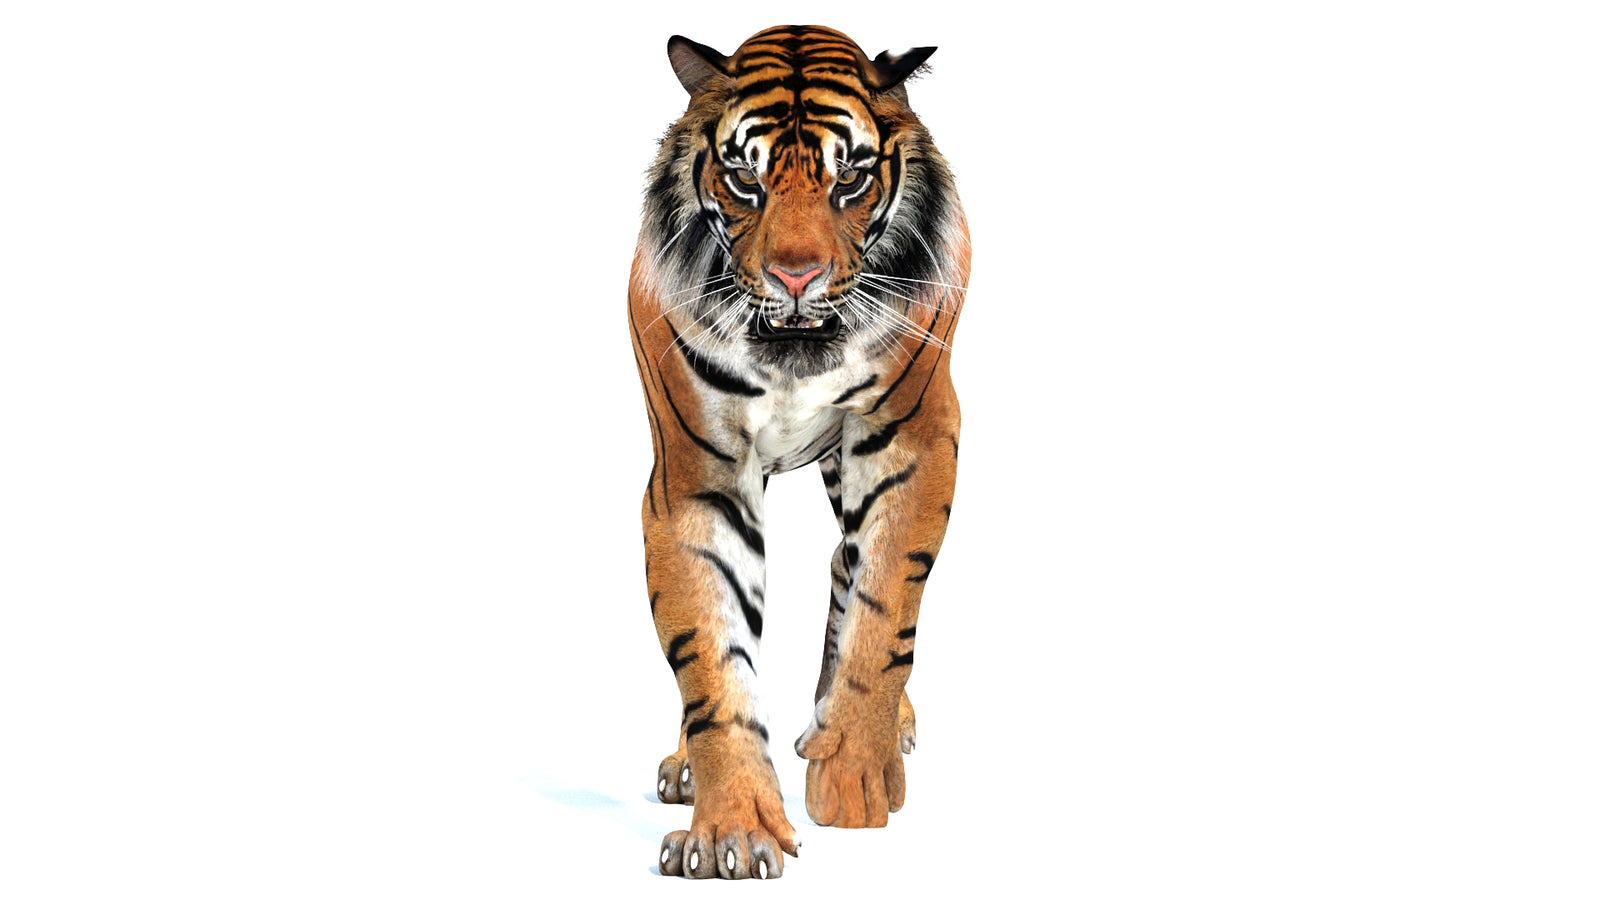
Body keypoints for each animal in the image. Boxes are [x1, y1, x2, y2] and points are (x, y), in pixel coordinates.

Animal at [628, 25, 970, 880]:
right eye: (745, 178)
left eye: (848, 177)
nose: (795, 275)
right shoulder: (697, 477)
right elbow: (710, 655)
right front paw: (732, 830)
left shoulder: (915, 437)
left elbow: (883, 611)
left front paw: (852, 772)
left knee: (850, 570)